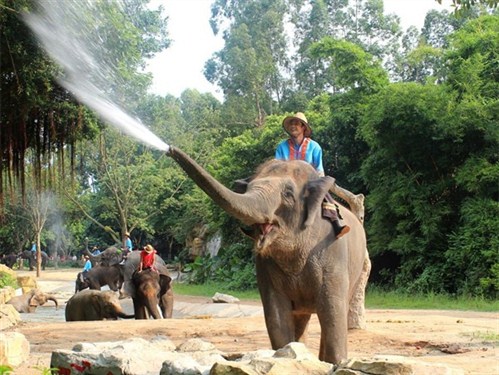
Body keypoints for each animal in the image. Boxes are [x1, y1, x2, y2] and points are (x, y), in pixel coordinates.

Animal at [168, 148, 368, 368]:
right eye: (248, 188)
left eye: (288, 194)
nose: (169, 150)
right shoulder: (264, 266)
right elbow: (276, 314)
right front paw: (287, 355)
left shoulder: (331, 251)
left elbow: (332, 311)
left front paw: (334, 363)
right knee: (301, 317)